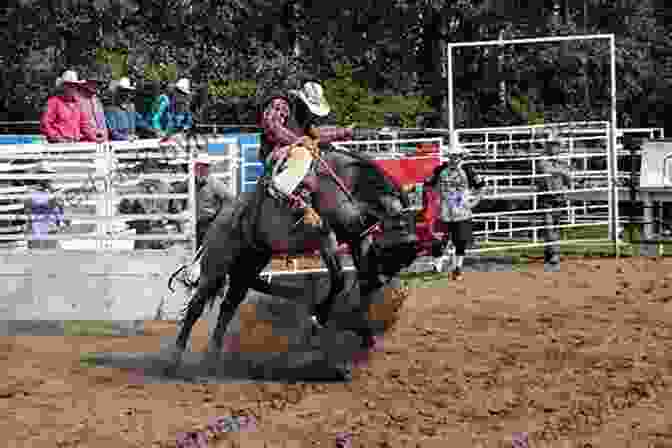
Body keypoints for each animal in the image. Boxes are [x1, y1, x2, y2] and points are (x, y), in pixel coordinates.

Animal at [165, 140, 418, 378]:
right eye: (388, 254)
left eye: (402, 261)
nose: (387, 283)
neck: (349, 183)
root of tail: (221, 217)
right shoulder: (325, 236)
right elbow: (338, 280)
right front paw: (320, 316)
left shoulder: (358, 237)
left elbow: (362, 280)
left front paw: (364, 333)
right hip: (216, 265)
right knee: (196, 307)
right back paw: (174, 360)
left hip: (249, 263)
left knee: (230, 305)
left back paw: (213, 357)